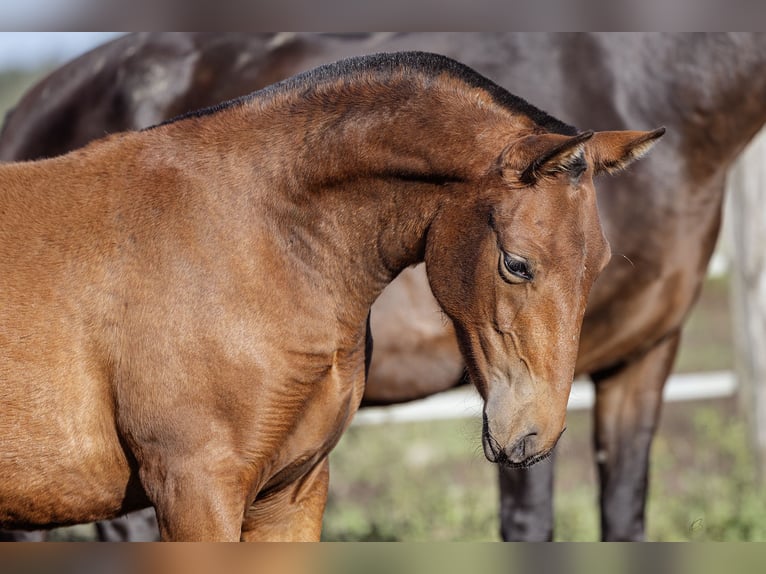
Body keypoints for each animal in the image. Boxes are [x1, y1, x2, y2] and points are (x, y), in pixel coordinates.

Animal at [0, 33, 744, 544]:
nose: (533, 435)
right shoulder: (194, 490)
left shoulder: (291, 492)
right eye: (517, 264)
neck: (256, 235)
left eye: (601, 263)